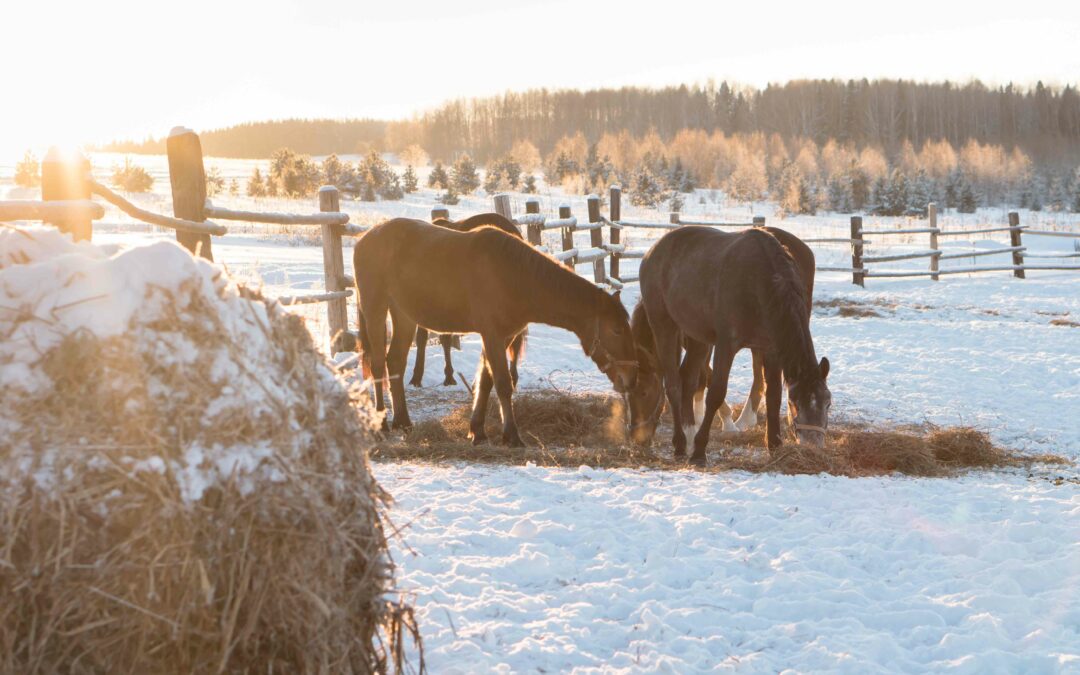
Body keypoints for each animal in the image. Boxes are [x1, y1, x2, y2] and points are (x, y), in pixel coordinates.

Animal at [632, 225, 830, 465]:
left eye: (828, 403)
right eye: (796, 403)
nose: (813, 447)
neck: (759, 281)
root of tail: (651, 253)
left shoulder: (771, 349)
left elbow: (773, 395)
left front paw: (774, 445)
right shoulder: (726, 345)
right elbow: (716, 392)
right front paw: (700, 451)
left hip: (697, 336)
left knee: (688, 378)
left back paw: (689, 435)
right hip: (664, 326)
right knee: (673, 384)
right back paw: (681, 444)